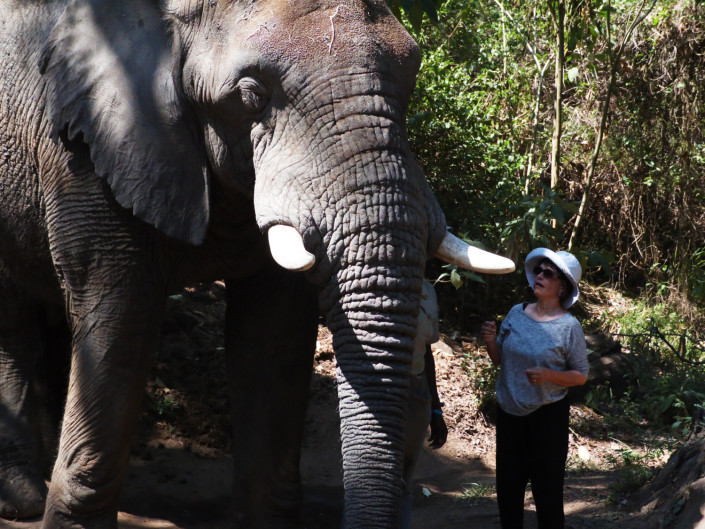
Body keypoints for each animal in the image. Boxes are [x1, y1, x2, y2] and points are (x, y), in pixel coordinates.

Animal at [0, 1, 516, 528]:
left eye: (411, 77)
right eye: (253, 96)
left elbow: (273, 336)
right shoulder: (87, 151)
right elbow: (121, 324)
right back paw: (23, 501)